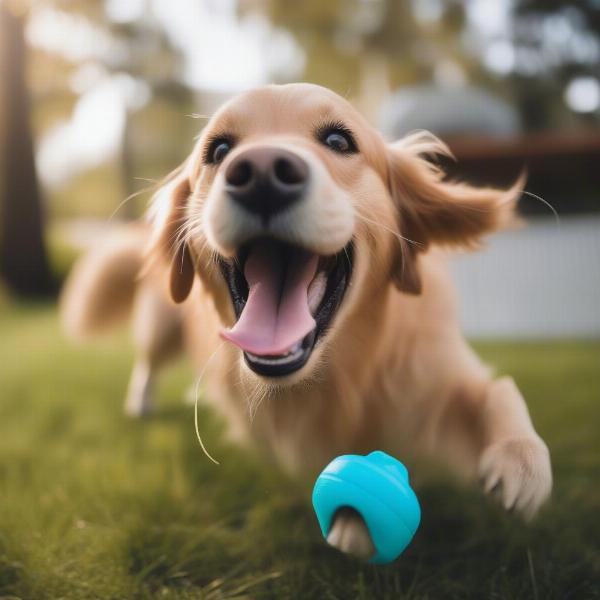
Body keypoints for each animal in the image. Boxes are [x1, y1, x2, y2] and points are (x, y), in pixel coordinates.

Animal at [62, 83, 552, 556]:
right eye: (218, 150)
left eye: (338, 140)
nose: (260, 172)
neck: (343, 372)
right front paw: (353, 524)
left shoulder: (435, 373)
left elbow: (499, 392)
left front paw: (520, 460)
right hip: (163, 325)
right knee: (148, 363)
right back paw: (141, 404)